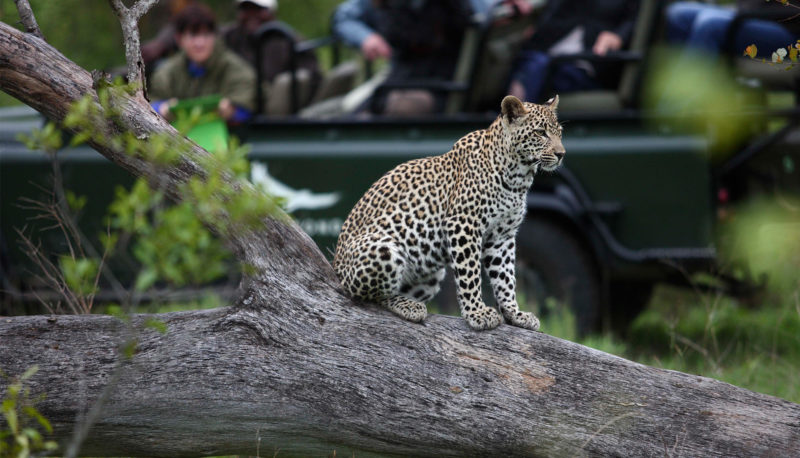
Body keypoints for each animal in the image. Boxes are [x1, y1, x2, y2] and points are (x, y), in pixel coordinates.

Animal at [334, 95, 564, 330]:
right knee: (371, 296)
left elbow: (506, 277)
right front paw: (477, 313)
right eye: (540, 132)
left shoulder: (502, 236)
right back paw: (409, 306)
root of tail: (336, 270)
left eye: (560, 133)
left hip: (431, 274)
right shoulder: (463, 224)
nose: (561, 154)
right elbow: (469, 273)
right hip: (384, 249)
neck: (519, 176)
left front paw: (515, 314)